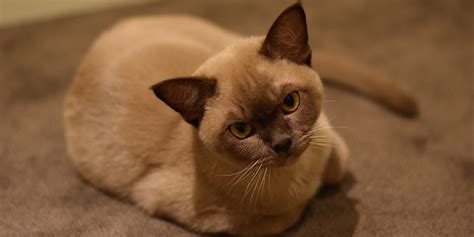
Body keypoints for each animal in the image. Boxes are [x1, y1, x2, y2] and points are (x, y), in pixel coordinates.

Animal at [63, 2, 414, 236]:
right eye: (241, 130)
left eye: (290, 103)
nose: (282, 143)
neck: (300, 174)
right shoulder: (219, 220)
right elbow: (292, 212)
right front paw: (311, 197)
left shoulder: (326, 135)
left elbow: (339, 165)